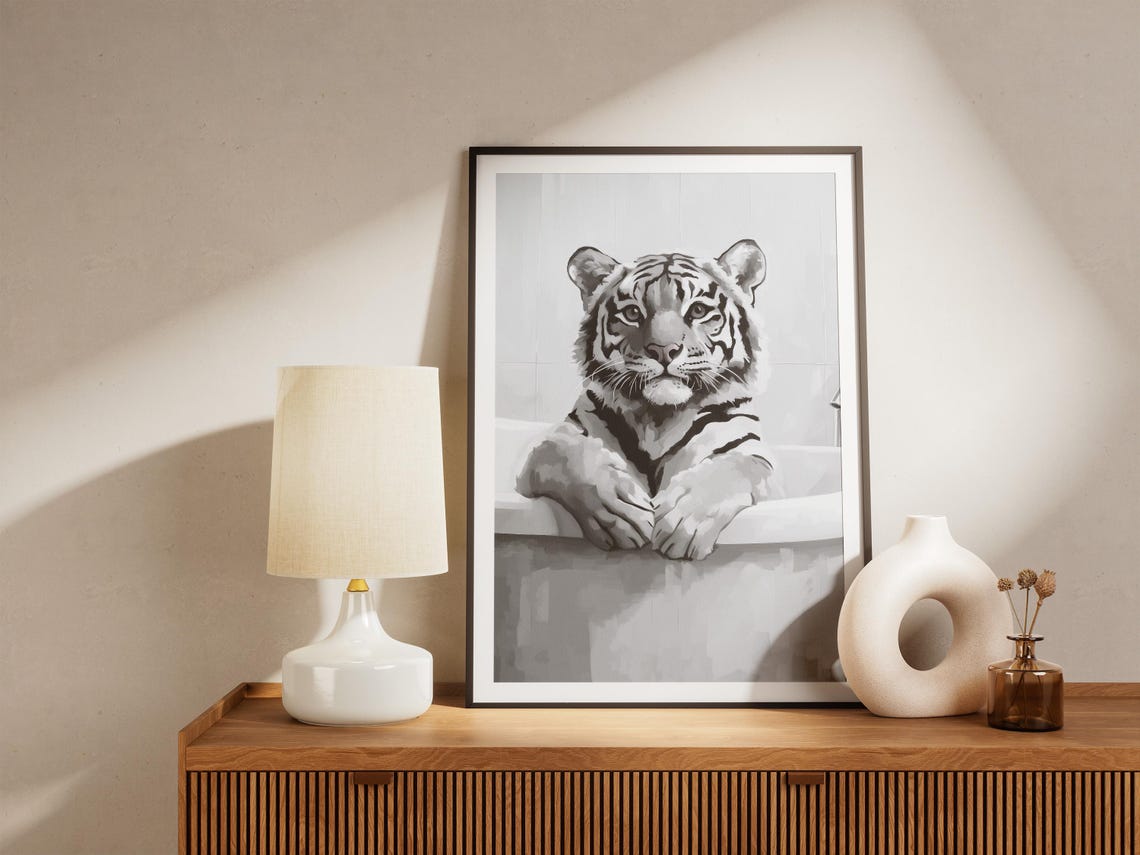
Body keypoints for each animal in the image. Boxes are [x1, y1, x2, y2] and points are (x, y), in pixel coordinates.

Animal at [516, 238, 777, 561]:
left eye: (698, 310)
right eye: (632, 313)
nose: (663, 350)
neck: (658, 416)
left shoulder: (748, 450)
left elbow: (731, 469)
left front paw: (683, 520)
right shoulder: (548, 449)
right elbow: (564, 453)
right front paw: (619, 509)